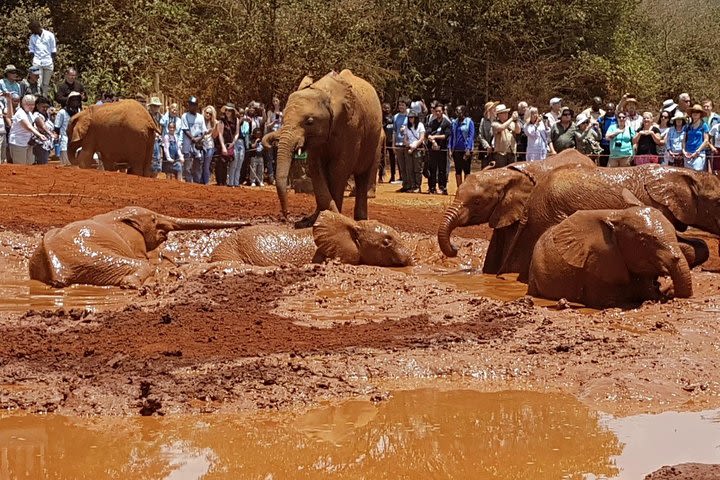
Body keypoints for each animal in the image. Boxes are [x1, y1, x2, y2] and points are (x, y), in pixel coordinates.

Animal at [30, 204, 250, 286]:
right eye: (153, 219)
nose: (247, 223)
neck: (113, 215)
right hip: (89, 256)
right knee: (141, 266)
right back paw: (133, 284)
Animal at [272, 69, 382, 229]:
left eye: (309, 121)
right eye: (282, 118)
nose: (287, 216)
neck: (325, 92)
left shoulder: (352, 127)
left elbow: (338, 169)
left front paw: (335, 219)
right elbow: (316, 168)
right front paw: (313, 220)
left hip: (374, 140)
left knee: (363, 174)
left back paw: (360, 219)